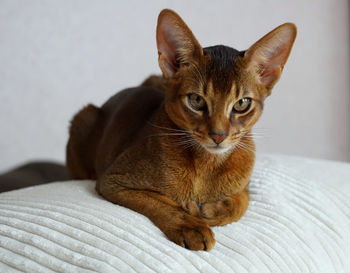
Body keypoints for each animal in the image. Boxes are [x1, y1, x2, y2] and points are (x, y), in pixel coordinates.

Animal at [65, 9, 296, 250]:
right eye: (196, 100)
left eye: (242, 103)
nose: (218, 136)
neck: (206, 167)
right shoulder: (114, 181)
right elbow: (161, 201)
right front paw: (191, 225)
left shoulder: (245, 186)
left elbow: (242, 203)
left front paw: (210, 210)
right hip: (84, 117)